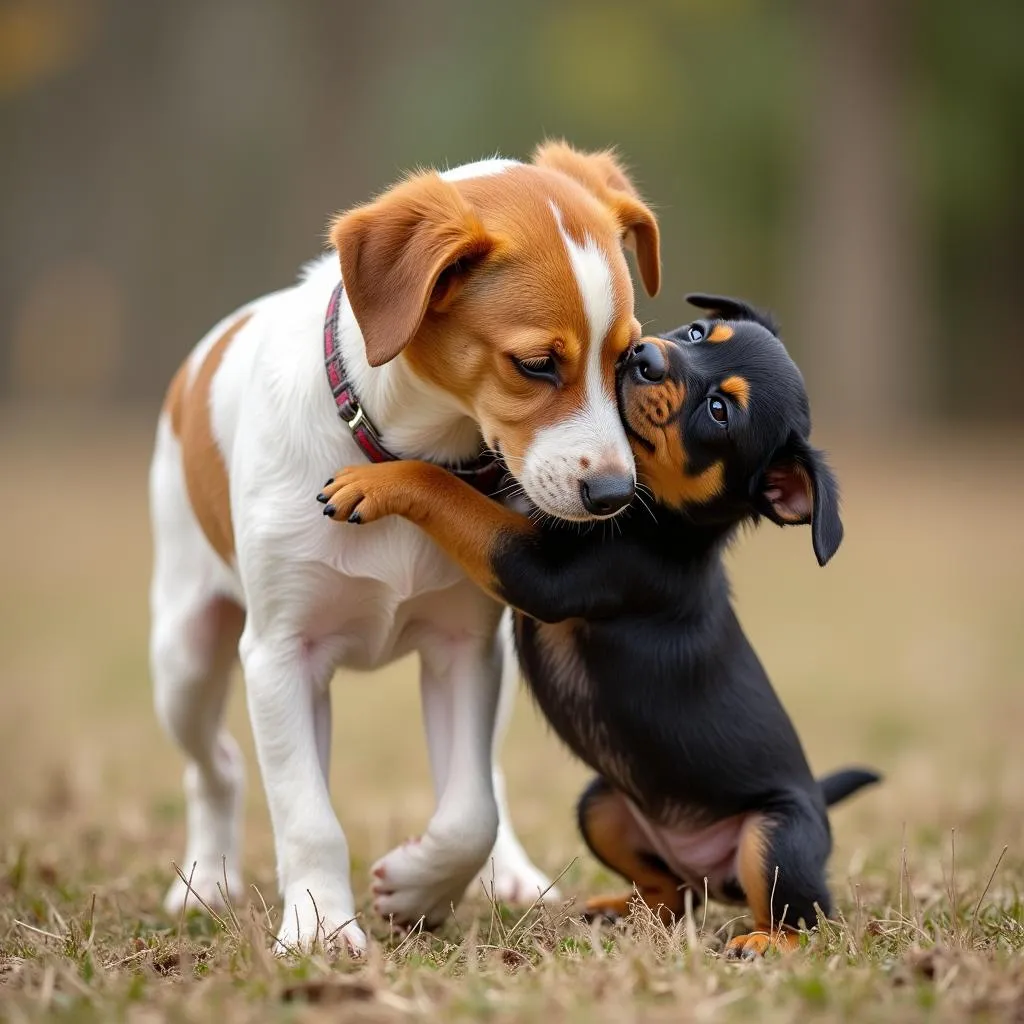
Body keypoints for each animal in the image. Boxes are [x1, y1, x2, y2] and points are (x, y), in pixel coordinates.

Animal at [148, 142, 659, 950]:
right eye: (536, 364)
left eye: (629, 357)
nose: (613, 495)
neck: (399, 449)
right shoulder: (281, 654)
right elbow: (308, 816)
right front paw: (320, 927)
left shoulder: (464, 648)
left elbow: (470, 809)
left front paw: (419, 887)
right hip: (187, 655)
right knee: (218, 765)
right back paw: (208, 882)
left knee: (487, 781)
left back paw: (510, 874)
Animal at [313, 296, 880, 958]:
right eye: (697, 332)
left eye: (719, 411)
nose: (645, 355)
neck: (668, 519)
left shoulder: (541, 571)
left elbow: (450, 492)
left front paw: (377, 482)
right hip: (603, 806)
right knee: (676, 894)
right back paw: (622, 913)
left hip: (776, 835)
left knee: (808, 912)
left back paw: (766, 943)